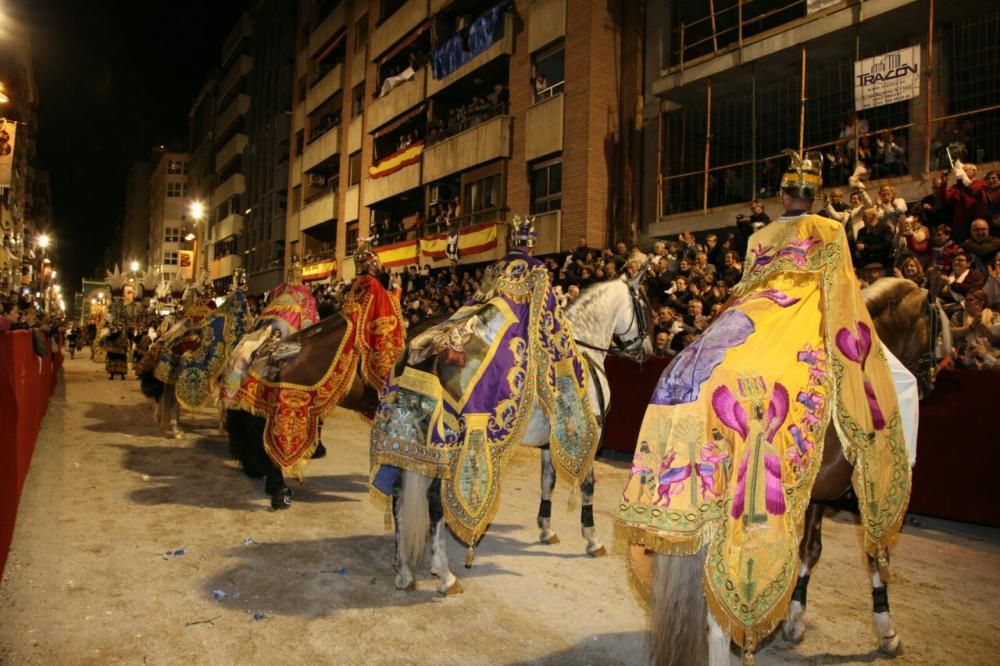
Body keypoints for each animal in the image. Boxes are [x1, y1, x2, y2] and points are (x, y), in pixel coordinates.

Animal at [390, 272, 656, 592]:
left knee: (398, 496)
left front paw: (546, 529)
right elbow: (588, 485)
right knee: (433, 503)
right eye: (646, 307)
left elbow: (547, 481)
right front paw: (592, 539)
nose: (649, 351)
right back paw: (444, 574)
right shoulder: (589, 438)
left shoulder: (549, 444)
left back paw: (404, 571)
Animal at [612, 213, 912, 648]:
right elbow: (874, 551)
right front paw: (886, 629)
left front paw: (795, 619)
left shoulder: (820, 491)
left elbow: (811, 549)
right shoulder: (866, 484)